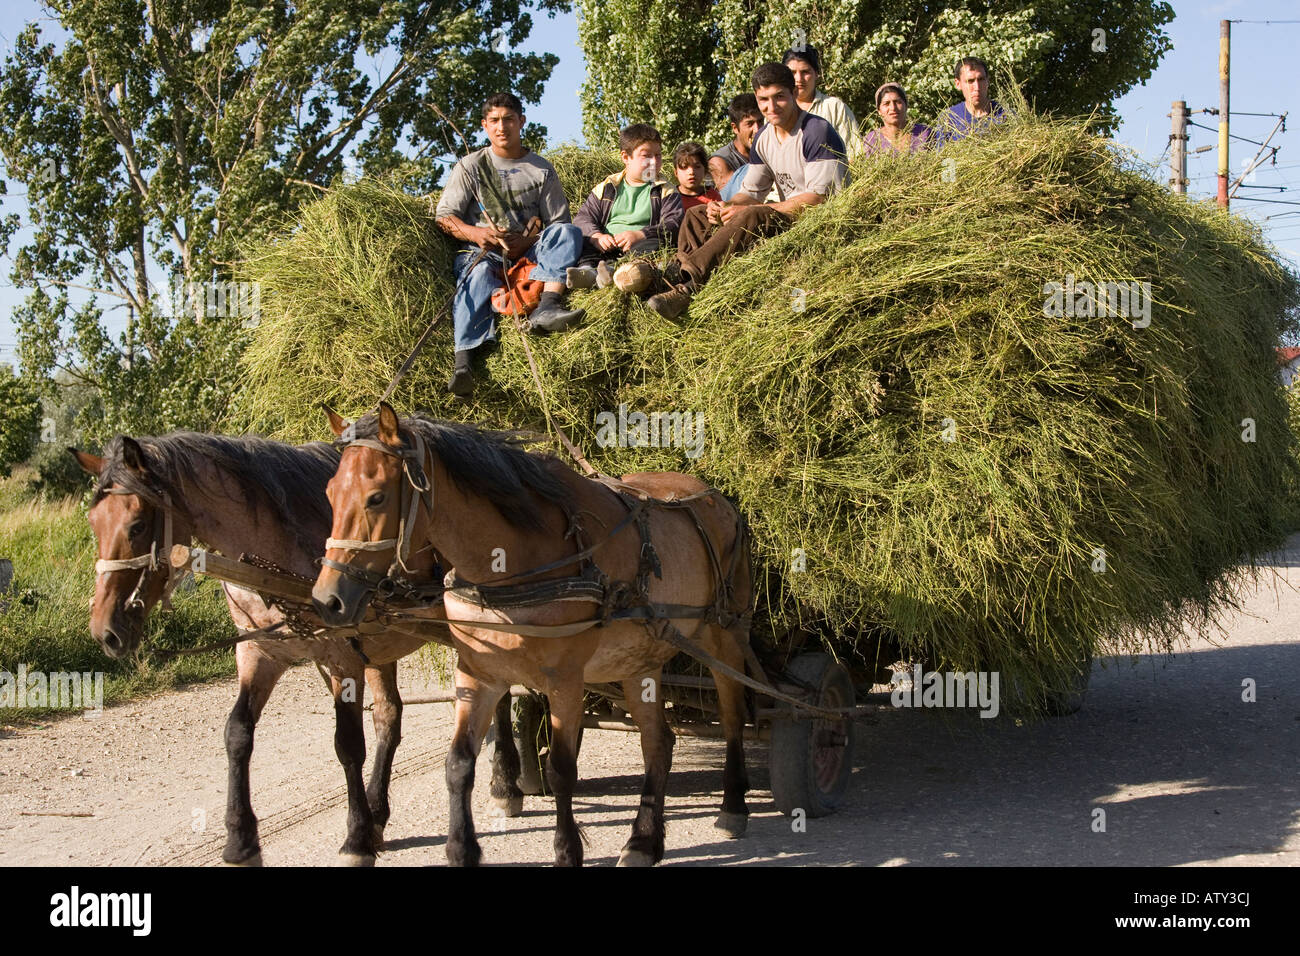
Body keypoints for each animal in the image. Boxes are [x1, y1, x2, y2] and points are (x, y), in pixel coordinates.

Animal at [71, 434, 525, 868]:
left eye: (136, 525)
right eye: (93, 524)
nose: (105, 631)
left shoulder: (342, 659)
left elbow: (348, 746)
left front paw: (355, 840)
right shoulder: (260, 654)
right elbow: (237, 734)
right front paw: (240, 842)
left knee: (498, 698)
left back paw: (505, 783)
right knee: (390, 717)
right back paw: (380, 812)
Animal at [314, 403, 759, 868]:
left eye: (377, 497)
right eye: (329, 492)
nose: (328, 600)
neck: (512, 562)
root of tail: (716, 498)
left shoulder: (565, 680)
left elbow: (562, 770)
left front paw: (566, 850)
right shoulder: (478, 675)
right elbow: (458, 764)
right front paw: (462, 849)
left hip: (723, 637)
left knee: (732, 716)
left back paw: (732, 807)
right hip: (640, 660)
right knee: (658, 742)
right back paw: (643, 841)